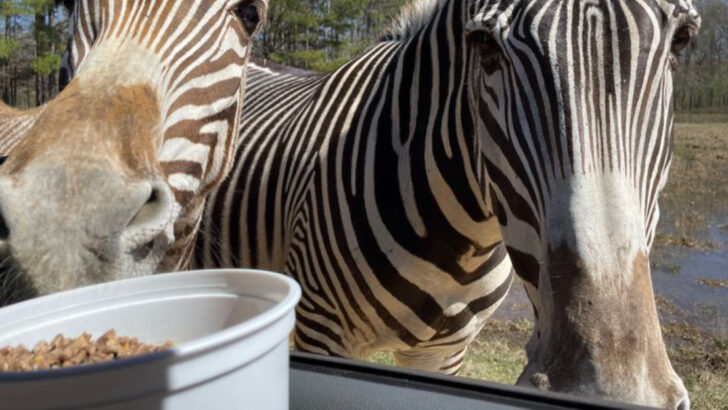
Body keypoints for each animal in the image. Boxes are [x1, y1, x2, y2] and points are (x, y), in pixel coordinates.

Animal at [197, 0, 699, 407]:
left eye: (682, 40)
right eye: (483, 45)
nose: (608, 388)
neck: (461, 242)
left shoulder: (444, 354)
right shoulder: (321, 333)